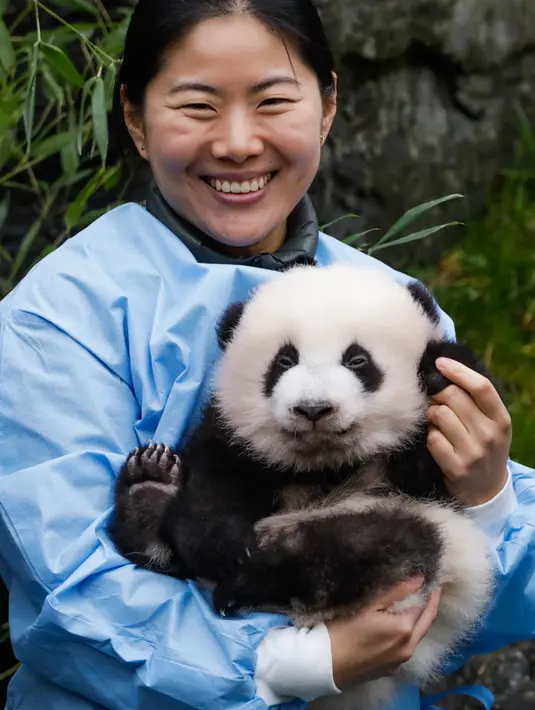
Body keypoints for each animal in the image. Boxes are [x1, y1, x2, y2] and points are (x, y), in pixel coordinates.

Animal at [109, 263, 495, 710]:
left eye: (357, 360)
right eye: (284, 360)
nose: (313, 409)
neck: (323, 464)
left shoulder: (426, 475)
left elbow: (434, 456)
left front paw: (439, 367)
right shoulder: (234, 436)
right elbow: (212, 487)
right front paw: (222, 544)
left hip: (431, 557)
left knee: (365, 545)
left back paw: (256, 572)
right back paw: (148, 495)